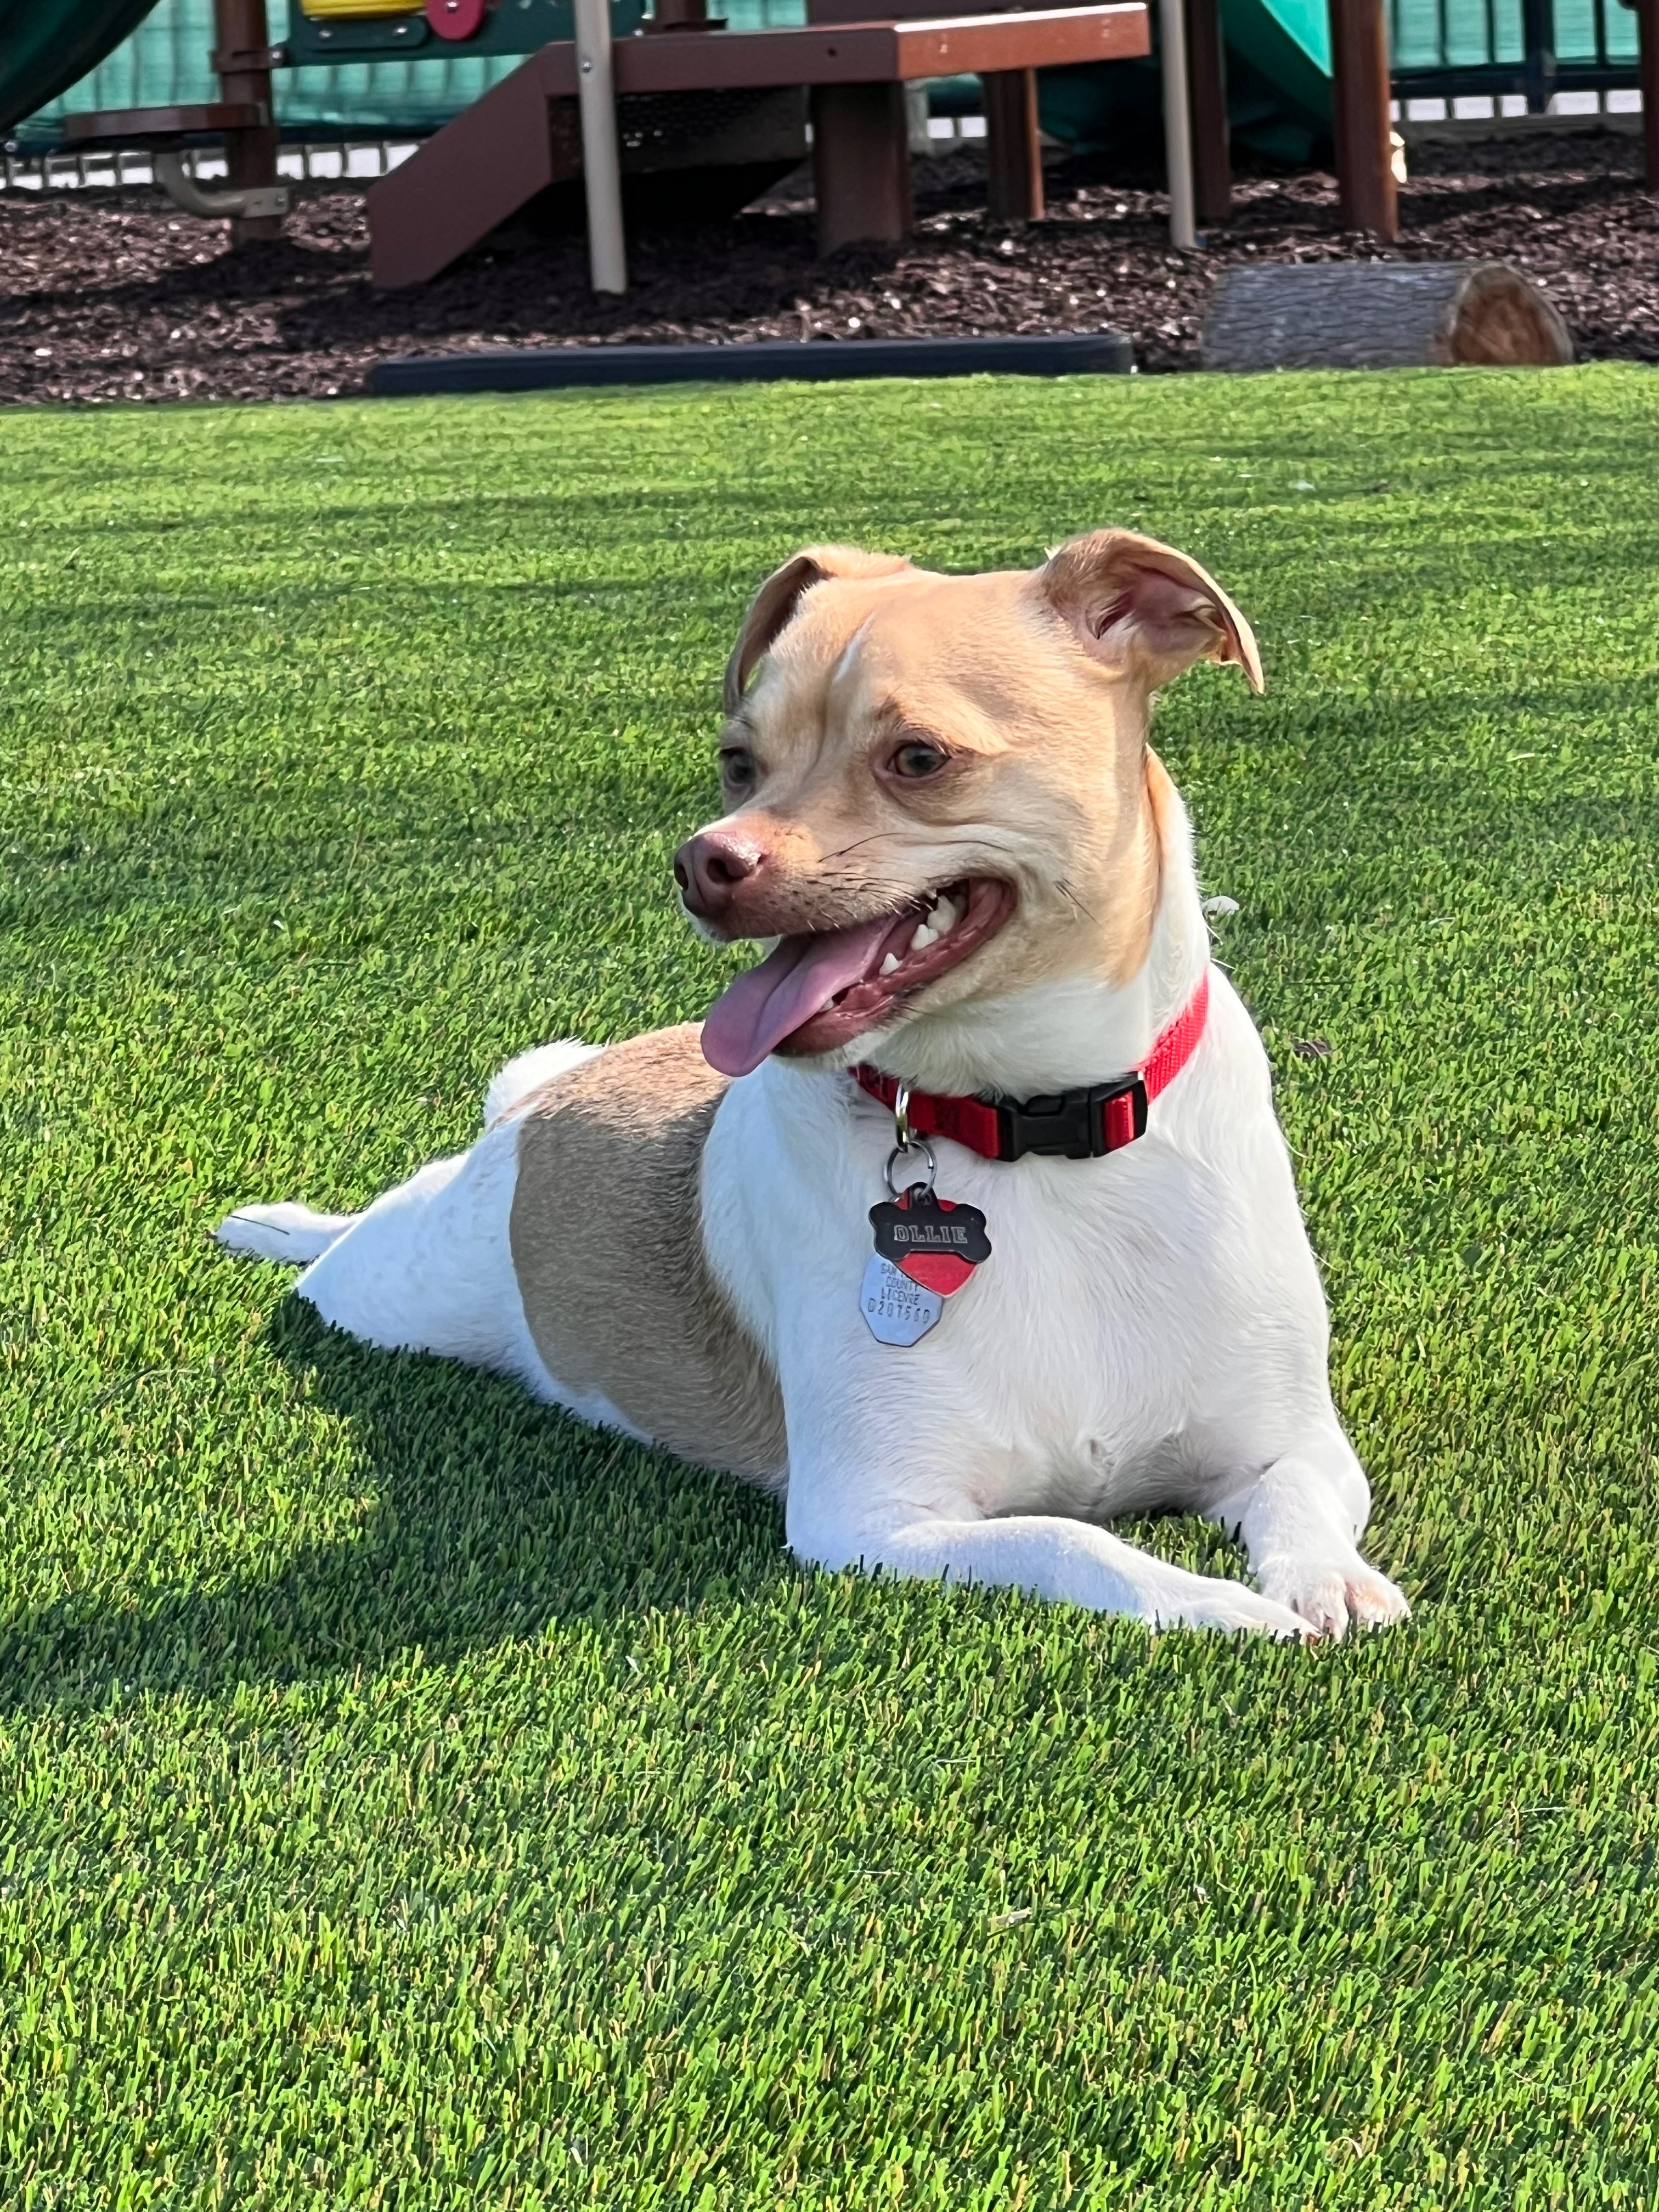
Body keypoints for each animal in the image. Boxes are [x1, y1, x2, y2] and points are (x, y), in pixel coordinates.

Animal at [217, 531, 1409, 1640]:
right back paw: (283, 1225)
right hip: (397, 1286)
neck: (1028, 1127)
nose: (701, 861)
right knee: (348, 1246)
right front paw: (1221, 1608)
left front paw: (1323, 1582)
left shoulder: (1294, 1445)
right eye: (737, 760)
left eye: (918, 757)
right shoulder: (877, 1521)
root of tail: (544, 1103)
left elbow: (1301, 1504)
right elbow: (1078, 1544)